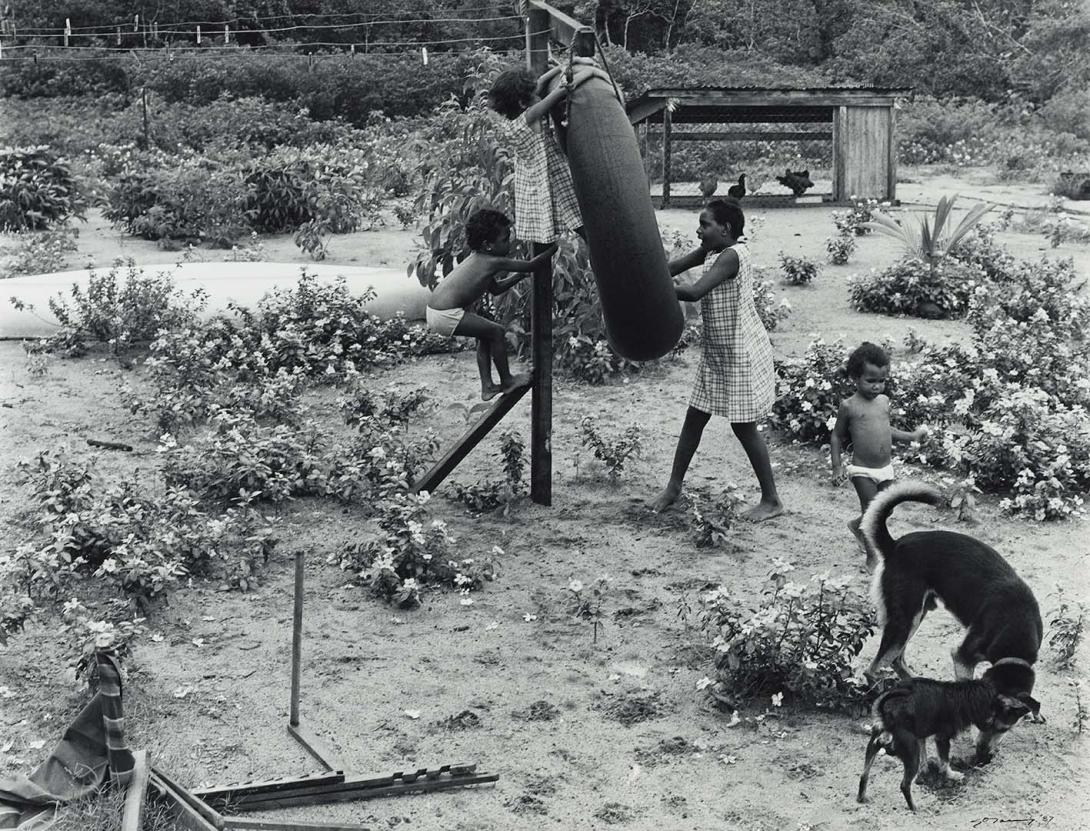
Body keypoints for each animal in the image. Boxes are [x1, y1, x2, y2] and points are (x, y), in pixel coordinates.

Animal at [858, 479, 1046, 759]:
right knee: (875, 667)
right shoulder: (963, 656)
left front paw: (1035, 715)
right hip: (905, 618)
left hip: (917, 615)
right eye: (985, 724)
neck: (1015, 627)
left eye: (1005, 728)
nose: (982, 757)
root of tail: (894, 545)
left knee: (897, 660)